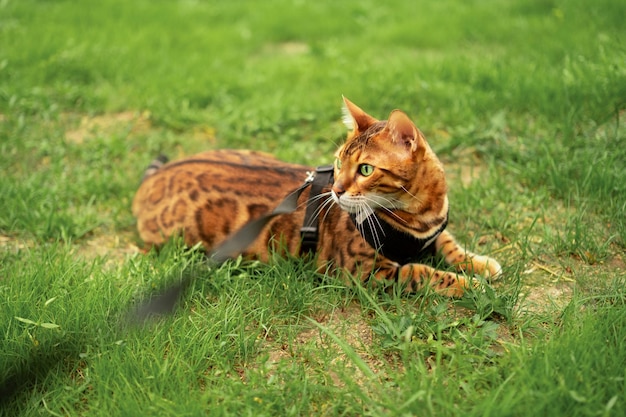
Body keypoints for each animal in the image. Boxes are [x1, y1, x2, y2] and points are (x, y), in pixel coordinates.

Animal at [130, 96, 498, 296]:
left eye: (365, 169)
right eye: (338, 162)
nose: (335, 190)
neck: (420, 214)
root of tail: (153, 180)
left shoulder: (432, 233)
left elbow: (449, 244)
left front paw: (480, 263)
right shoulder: (366, 272)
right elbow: (423, 273)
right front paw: (471, 286)